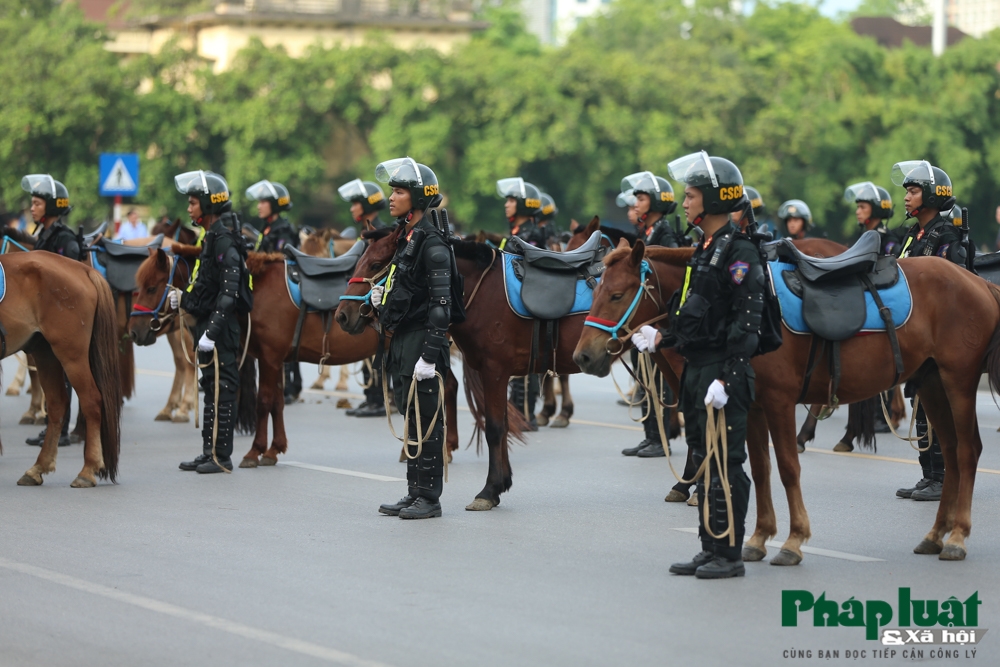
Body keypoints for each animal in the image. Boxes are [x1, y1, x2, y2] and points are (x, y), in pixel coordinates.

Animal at [0, 253, 122, 488]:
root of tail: (82, 269)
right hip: (45, 353)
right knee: (57, 403)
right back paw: (38, 467)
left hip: (71, 355)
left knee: (91, 400)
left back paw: (87, 470)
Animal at [576, 240, 1000, 564]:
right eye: (593, 291)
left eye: (616, 294)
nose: (583, 356)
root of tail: (977, 281)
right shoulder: (754, 405)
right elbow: (762, 469)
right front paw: (760, 537)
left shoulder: (779, 402)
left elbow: (787, 468)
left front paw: (793, 540)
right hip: (931, 383)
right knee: (950, 450)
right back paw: (936, 534)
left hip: (958, 382)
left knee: (967, 452)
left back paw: (958, 536)